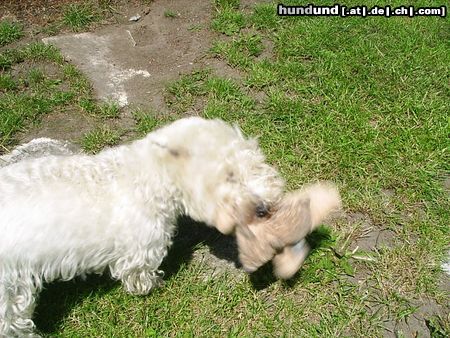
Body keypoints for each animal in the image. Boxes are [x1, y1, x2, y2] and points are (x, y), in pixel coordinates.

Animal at [0, 117, 284, 336]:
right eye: (229, 176)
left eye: (256, 164)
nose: (264, 208)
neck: (151, 175)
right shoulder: (142, 248)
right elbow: (139, 272)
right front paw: (150, 286)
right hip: (11, 288)